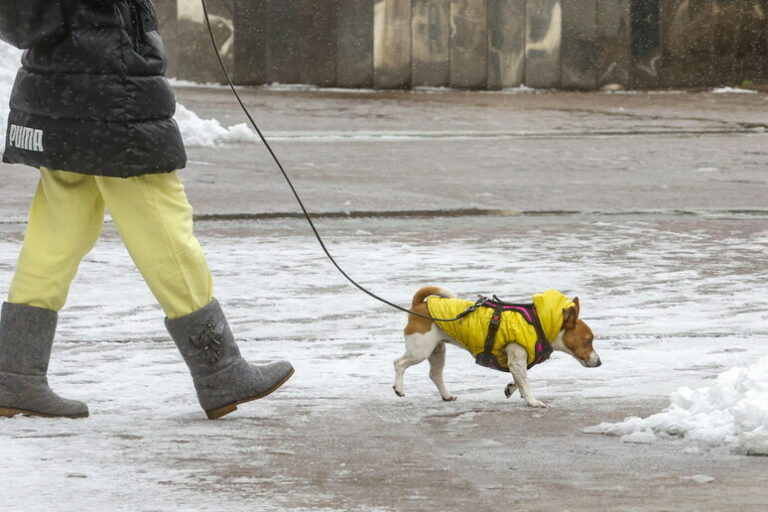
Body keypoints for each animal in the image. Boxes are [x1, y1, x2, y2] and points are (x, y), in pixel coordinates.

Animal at [392, 284, 604, 408]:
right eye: (588, 340)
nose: (599, 362)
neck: (541, 323)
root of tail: (419, 305)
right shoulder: (517, 359)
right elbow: (526, 382)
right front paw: (533, 401)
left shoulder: (517, 363)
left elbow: (520, 380)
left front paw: (512, 388)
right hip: (420, 350)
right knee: (399, 363)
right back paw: (399, 388)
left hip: (437, 350)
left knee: (435, 374)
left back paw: (446, 395)